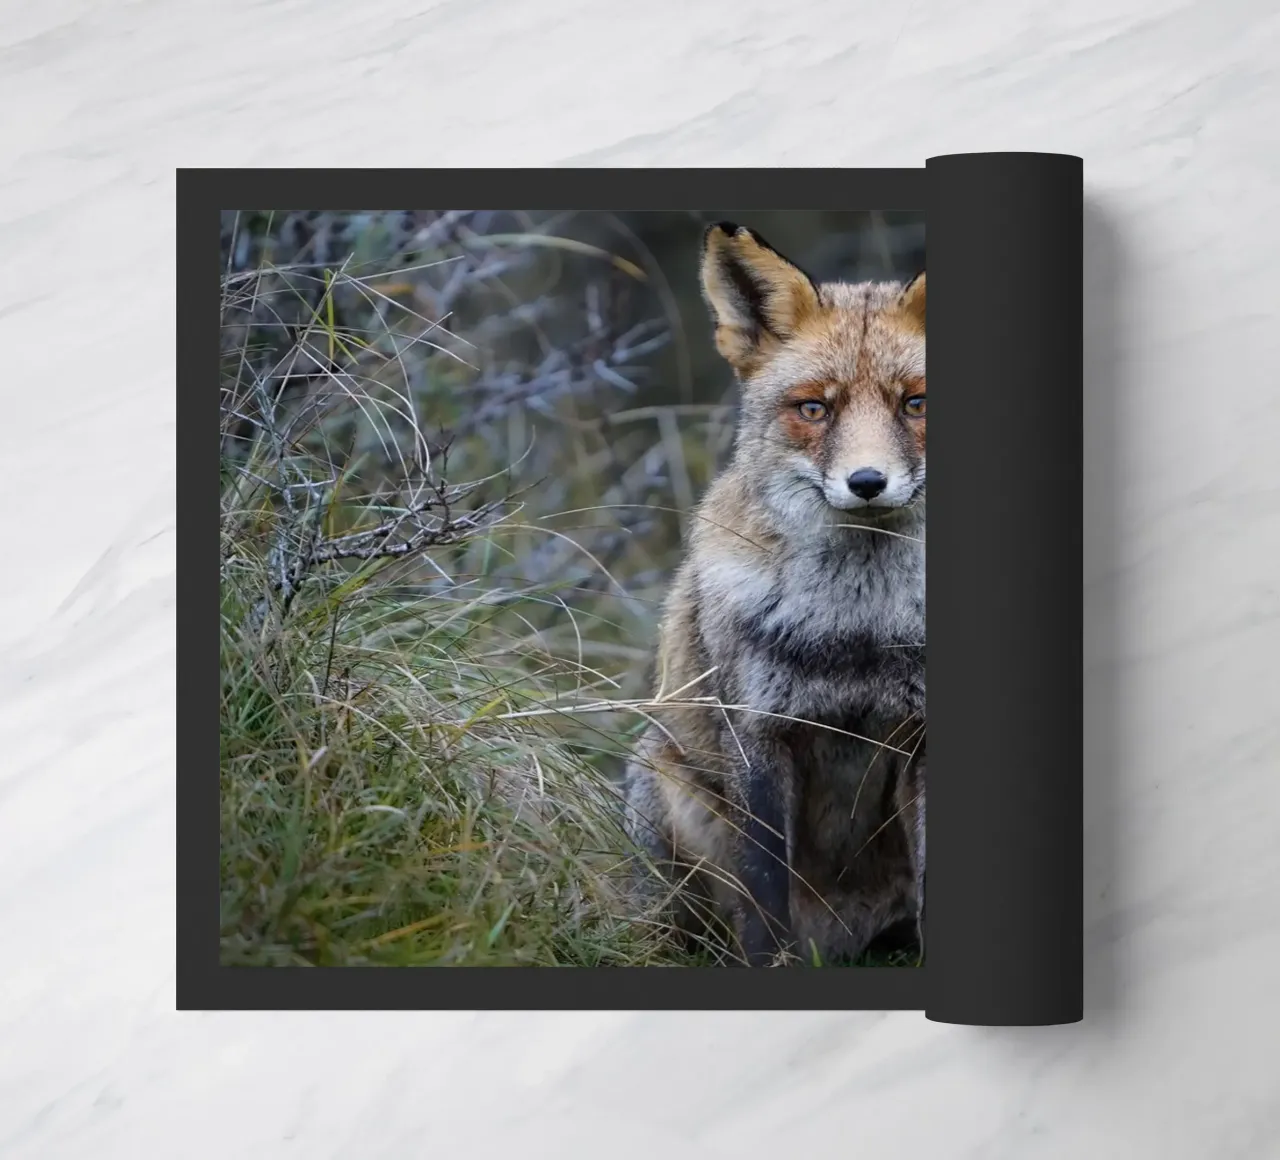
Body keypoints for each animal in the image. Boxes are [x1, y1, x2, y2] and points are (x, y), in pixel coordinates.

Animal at [622, 221, 927, 966]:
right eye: (814, 408)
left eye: (915, 403)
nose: (867, 482)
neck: (858, 627)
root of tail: (844, 941)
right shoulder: (758, 734)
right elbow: (765, 901)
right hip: (660, 789)